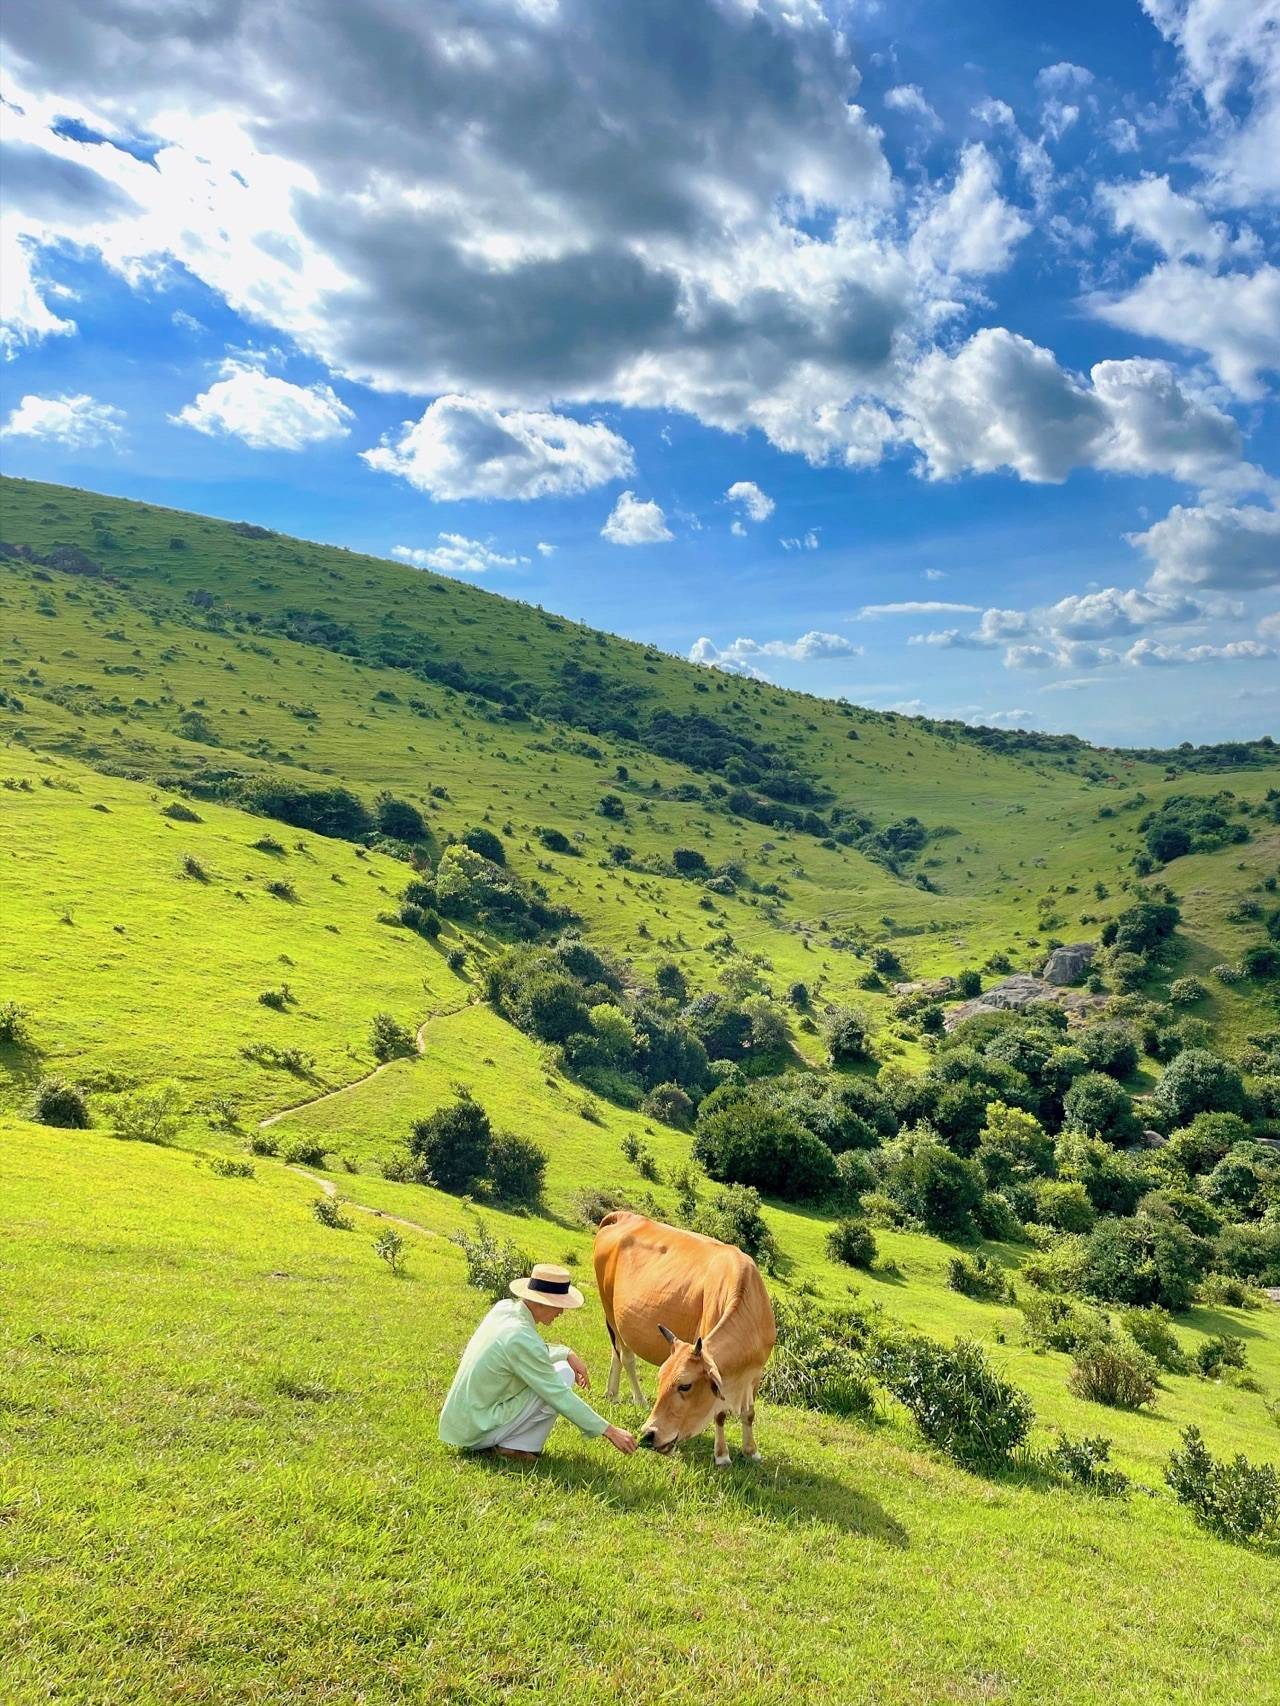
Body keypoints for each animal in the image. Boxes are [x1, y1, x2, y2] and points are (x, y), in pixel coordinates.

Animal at [597, 1214, 778, 1467]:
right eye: (661, 1379)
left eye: (685, 1385)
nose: (648, 1434)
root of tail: (624, 1216)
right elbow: (720, 1414)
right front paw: (722, 1455)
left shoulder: (756, 1373)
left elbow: (749, 1413)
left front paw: (751, 1451)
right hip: (610, 1310)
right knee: (626, 1357)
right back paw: (639, 1400)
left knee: (616, 1354)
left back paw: (612, 1393)